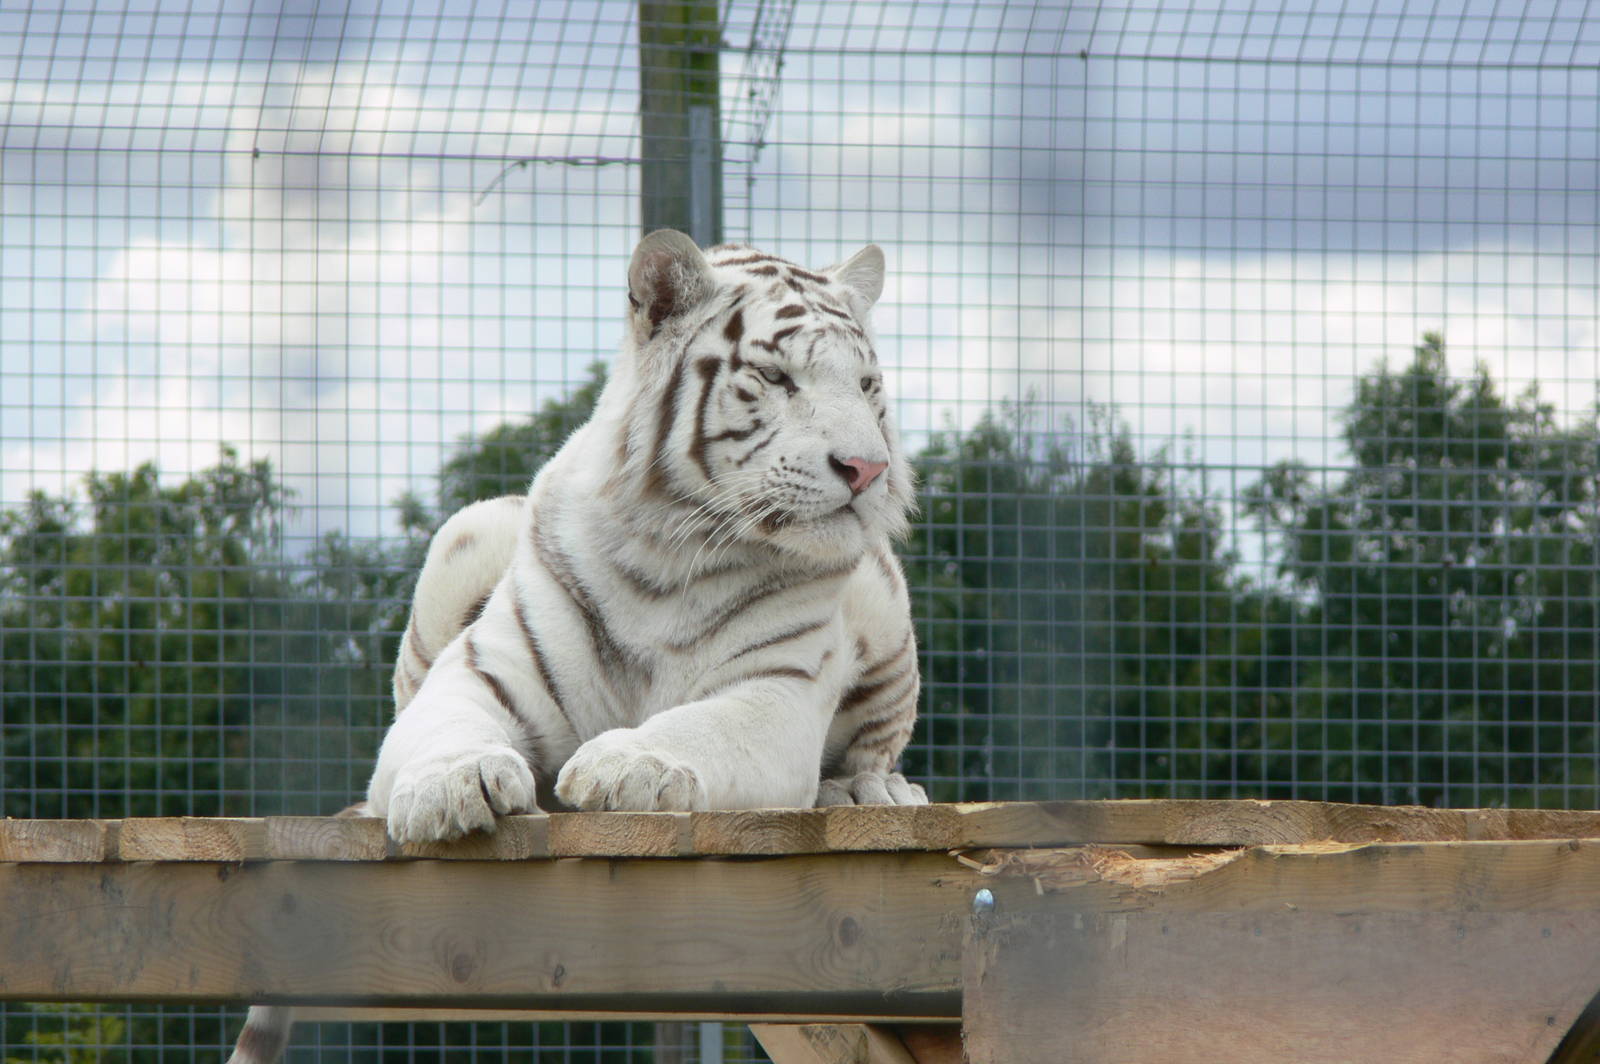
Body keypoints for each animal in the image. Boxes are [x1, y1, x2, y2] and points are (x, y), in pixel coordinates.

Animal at [227, 230, 925, 1063]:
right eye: (775, 376)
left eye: (867, 384)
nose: (868, 468)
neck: (675, 554)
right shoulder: (486, 670)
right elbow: (442, 729)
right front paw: (452, 786)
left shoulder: (775, 694)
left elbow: (701, 726)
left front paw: (626, 765)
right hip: (469, 527)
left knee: (876, 747)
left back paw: (869, 792)